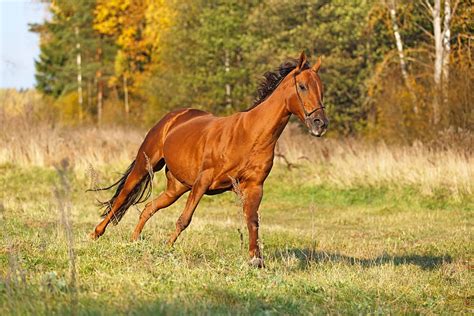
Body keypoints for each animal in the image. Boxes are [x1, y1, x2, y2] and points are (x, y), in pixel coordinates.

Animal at [90, 51, 326, 266]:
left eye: (321, 88)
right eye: (302, 86)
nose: (320, 124)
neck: (250, 135)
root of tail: (171, 118)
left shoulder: (254, 187)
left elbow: (252, 222)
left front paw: (256, 261)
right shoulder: (203, 181)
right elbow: (184, 219)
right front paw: (167, 249)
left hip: (177, 187)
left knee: (149, 207)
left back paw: (133, 241)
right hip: (145, 165)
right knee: (122, 196)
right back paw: (96, 234)